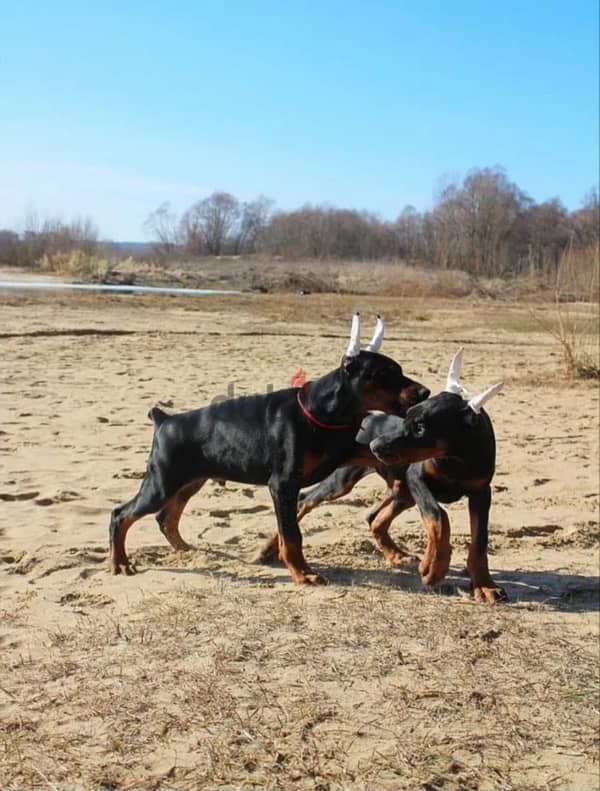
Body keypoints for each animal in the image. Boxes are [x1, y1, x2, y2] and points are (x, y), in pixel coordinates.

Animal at [109, 318, 432, 588]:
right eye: (384, 373)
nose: (425, 393)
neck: (324, 414)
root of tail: (164, 420)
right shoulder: (283, 484)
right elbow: (291, 535)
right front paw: (303, 574)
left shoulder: (348, 452)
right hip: (162, 483)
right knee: (121, 515)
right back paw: (120, 563)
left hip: (189, 482)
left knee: (166, 518)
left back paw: (187, 550)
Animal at [282, 352, 506, 608]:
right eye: (407, 417)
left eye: (421, 427)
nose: (374, 445)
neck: (456, 458)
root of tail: (364, 418)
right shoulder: (416, 478)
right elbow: (438, 516)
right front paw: (434, 569)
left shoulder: (481, 492)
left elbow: (478, 542)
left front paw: (485, 586)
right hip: (346, 481)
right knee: (305, 500)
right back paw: (271, 553)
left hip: (402, 492)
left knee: (374, 519)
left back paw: (399, 555)